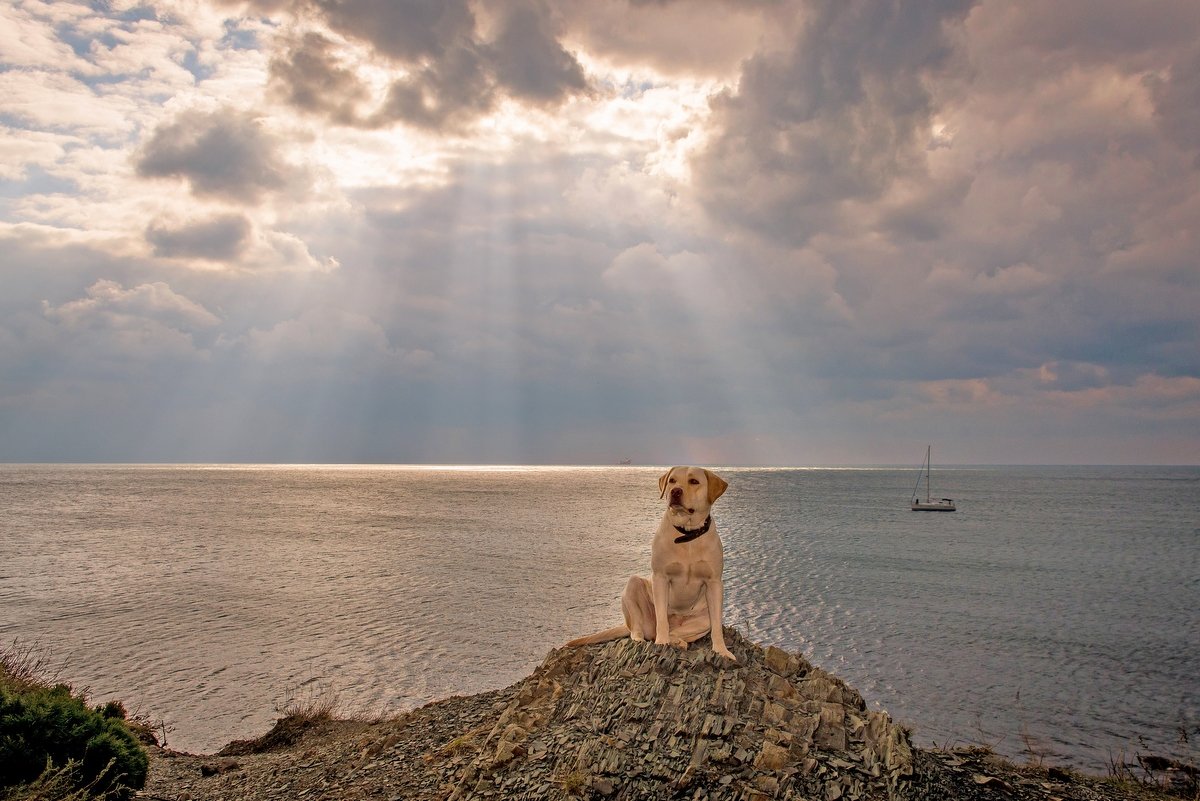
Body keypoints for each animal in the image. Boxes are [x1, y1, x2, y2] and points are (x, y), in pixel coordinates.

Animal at [566, 465, 734, 661]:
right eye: (672, 480)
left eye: (694, 481)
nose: (675, 491)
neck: (687, 535)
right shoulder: (660, 578)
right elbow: (661, 618)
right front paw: (662, 643)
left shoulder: (714, 583)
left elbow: (717, 627)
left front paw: (721, 650)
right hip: (633, 587)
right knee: (640, 629)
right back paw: (645, 639)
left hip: (702, 619)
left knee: (680, 631)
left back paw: (678, 641)